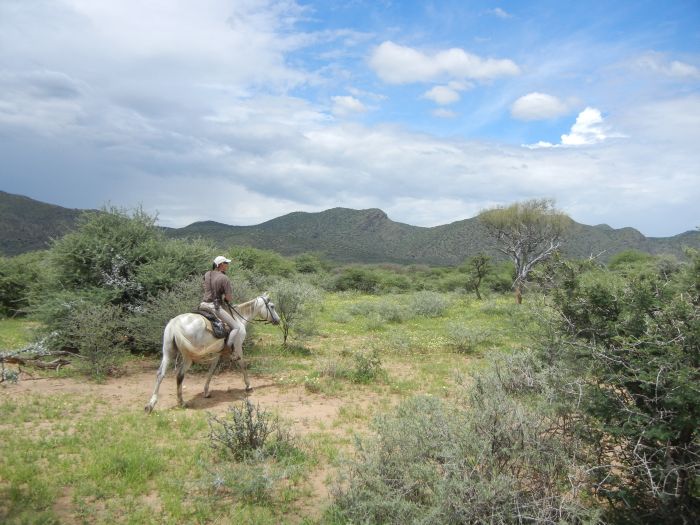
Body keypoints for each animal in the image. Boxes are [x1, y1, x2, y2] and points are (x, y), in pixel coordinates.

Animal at [144, 292, 280, 412]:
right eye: (272, 306)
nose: (278, 320)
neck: (238, 318)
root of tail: (175, 324)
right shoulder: (238, 347)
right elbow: (242, 365)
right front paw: (248, 386)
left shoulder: (217, 352)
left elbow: (211, 369)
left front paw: (206, 391)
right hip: (187, 357)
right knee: (180, 375)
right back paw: (181, 402)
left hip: (168, 352)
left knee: (161, 374)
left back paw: (151, 405)